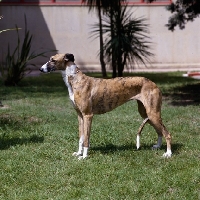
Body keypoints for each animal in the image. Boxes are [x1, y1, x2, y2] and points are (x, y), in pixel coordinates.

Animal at [39, 53, 172, 159]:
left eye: (53, 60)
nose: (40, 69)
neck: (76, 80)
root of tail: (154, 84)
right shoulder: (80, 116)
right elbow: (81, 137)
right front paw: (79, 153)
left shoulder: (88, 115)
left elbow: (86, 139)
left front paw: (84, 156)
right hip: (146, 113)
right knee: (160, 131)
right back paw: (158, 146)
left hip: (152, 113)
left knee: (167, 133)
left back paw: (168, 153)